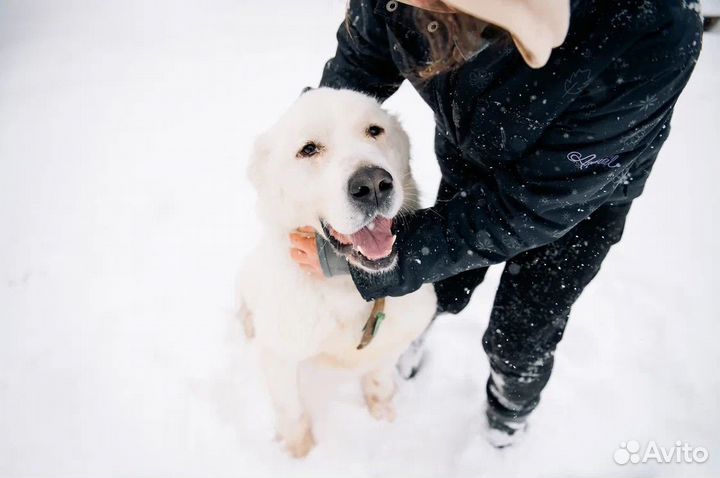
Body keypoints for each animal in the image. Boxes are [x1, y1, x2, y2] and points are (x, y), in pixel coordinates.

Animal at [239, 88, 436, 458]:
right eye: (309, 149)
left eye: (374, 130)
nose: (373, 184)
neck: (348, 287)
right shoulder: (279, 353)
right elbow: (291, 411)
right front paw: (300, 453)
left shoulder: (393, 340)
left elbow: (379, 379)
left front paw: (382, 415)